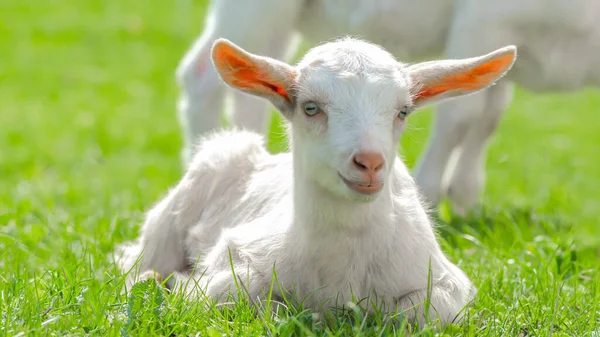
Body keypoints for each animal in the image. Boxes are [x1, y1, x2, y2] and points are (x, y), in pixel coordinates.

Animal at [177, 0, 600, 213]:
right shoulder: (482, 20)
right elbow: (461, 118)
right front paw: (431, 197)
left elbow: (488, 117)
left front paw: (466, 201)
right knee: (207, 77)